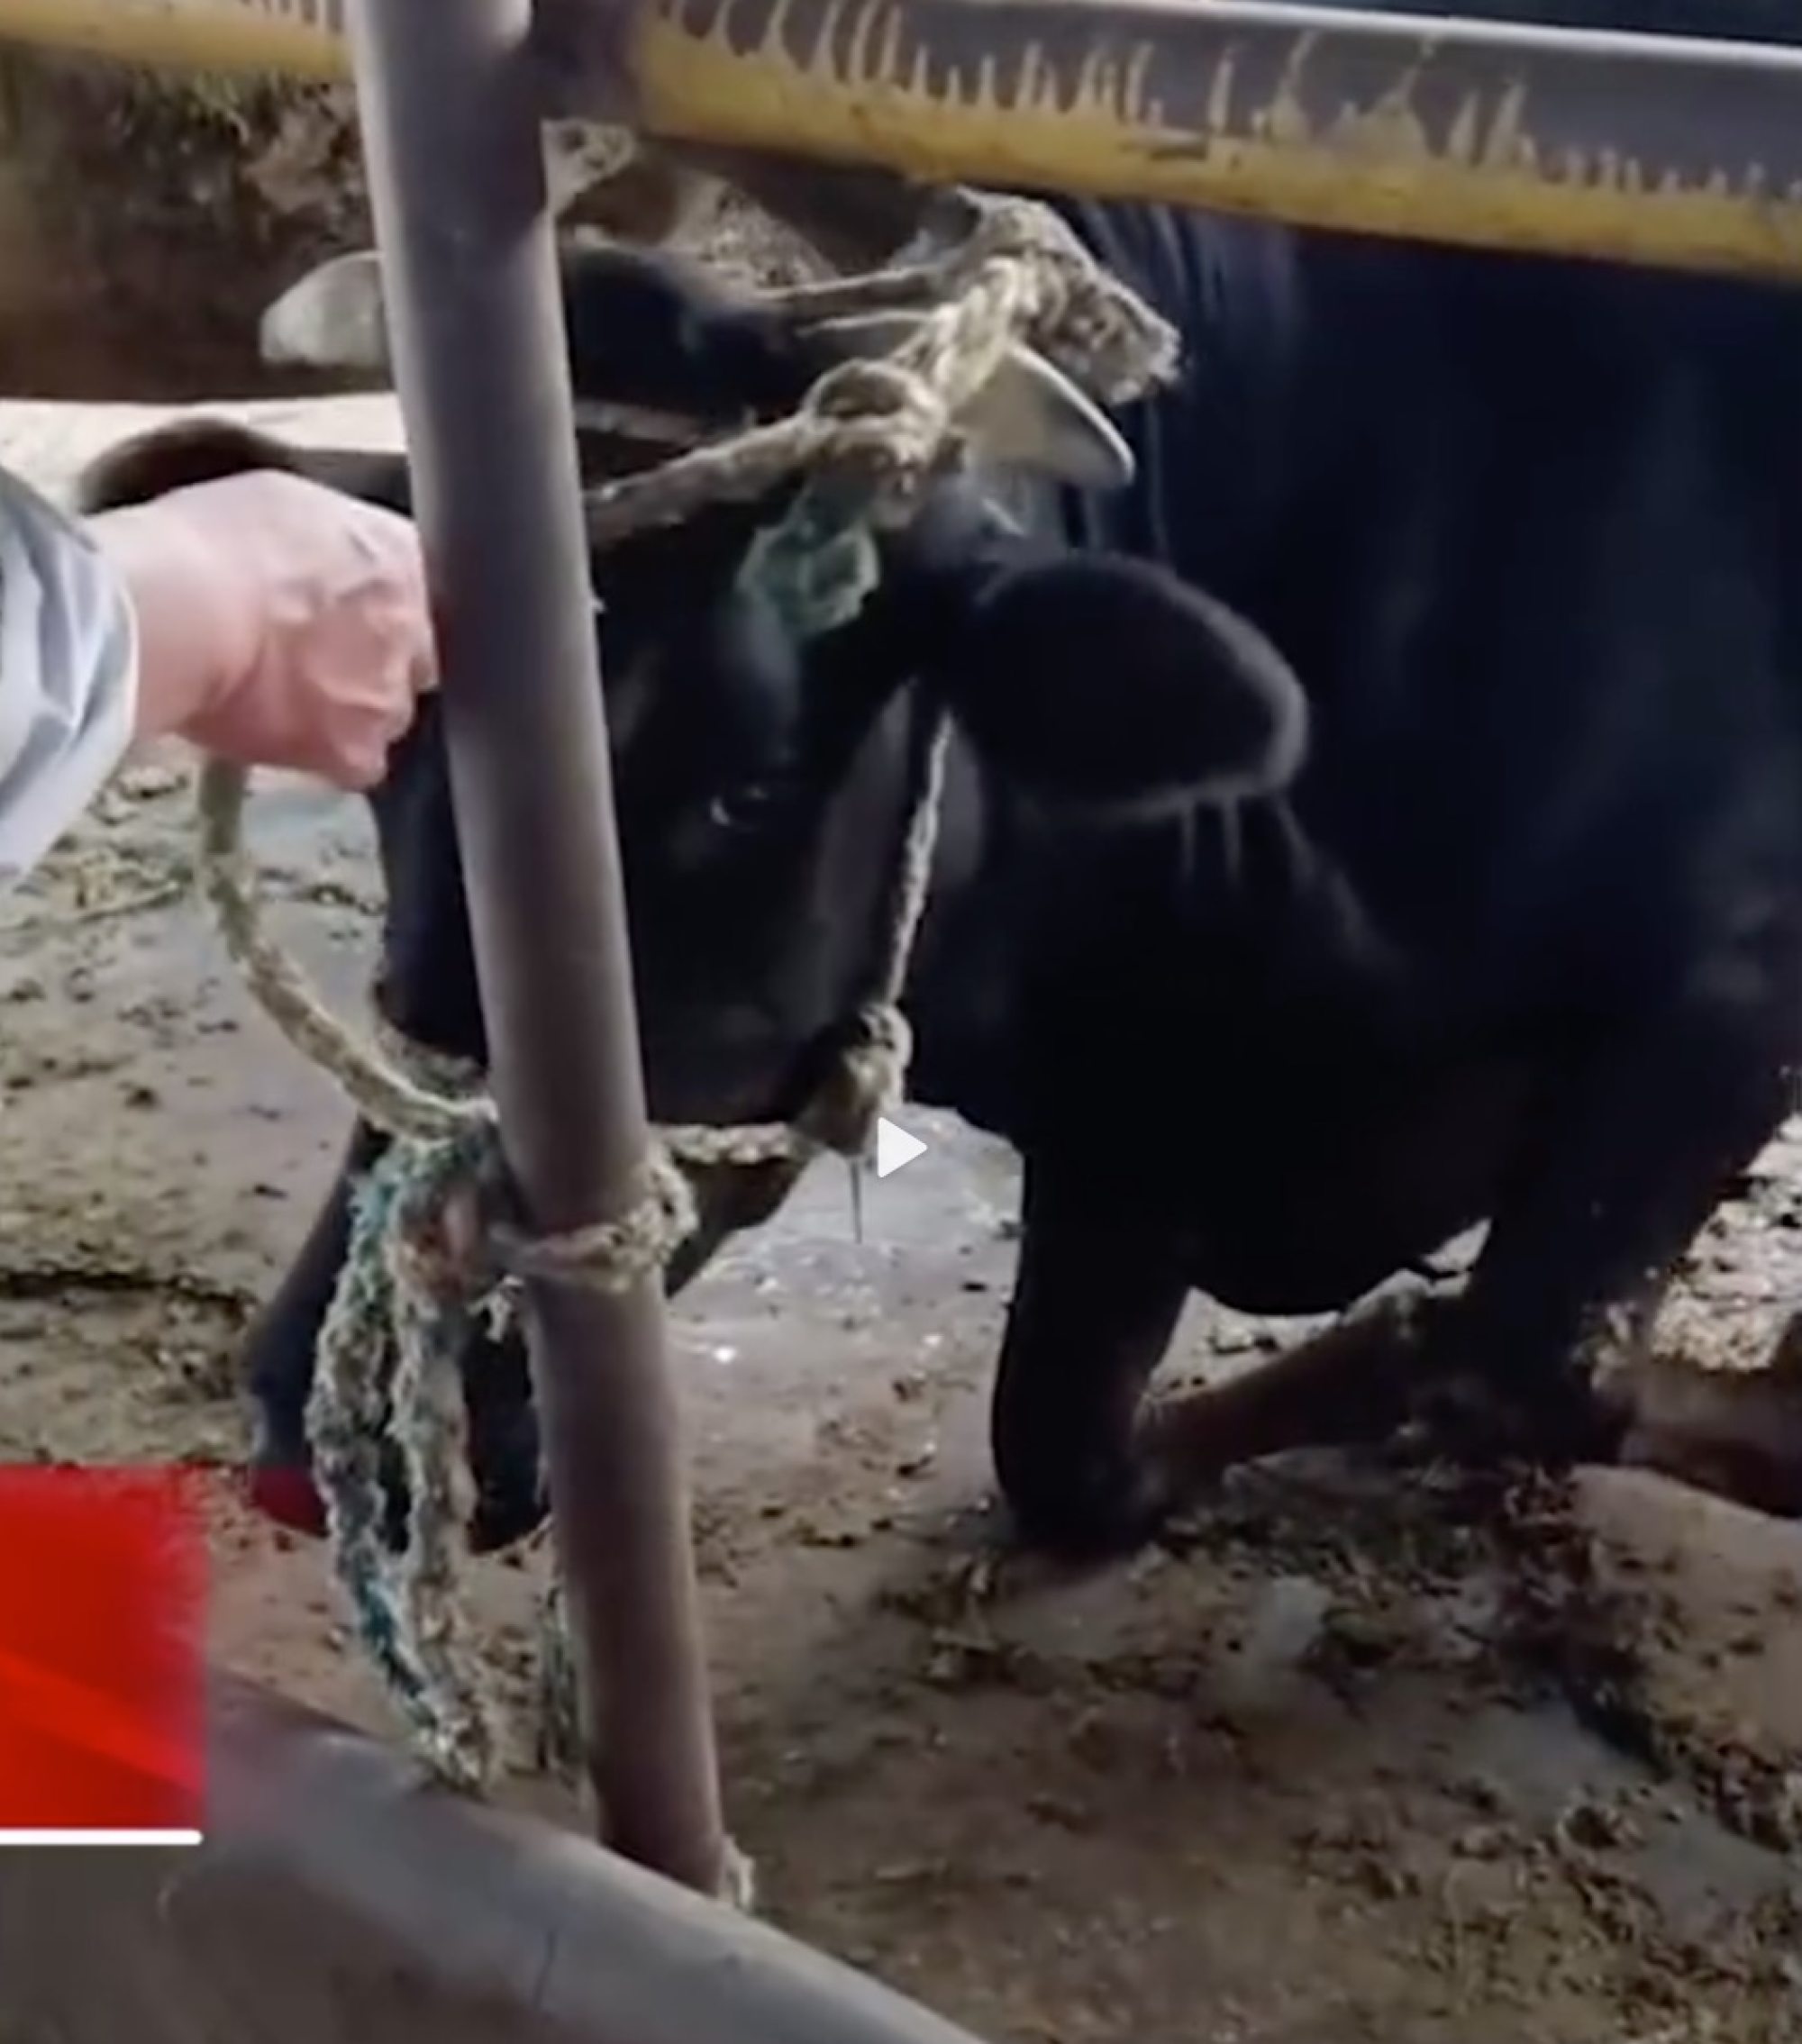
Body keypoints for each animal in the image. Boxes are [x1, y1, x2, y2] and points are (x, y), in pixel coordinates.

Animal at [87, 127, 1802, 1553]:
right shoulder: (1130, 1120)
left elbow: (1533, 1350)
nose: (336, 1437)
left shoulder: (1735, 981)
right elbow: (1057, 1447)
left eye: (749, 781)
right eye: (394, 745)